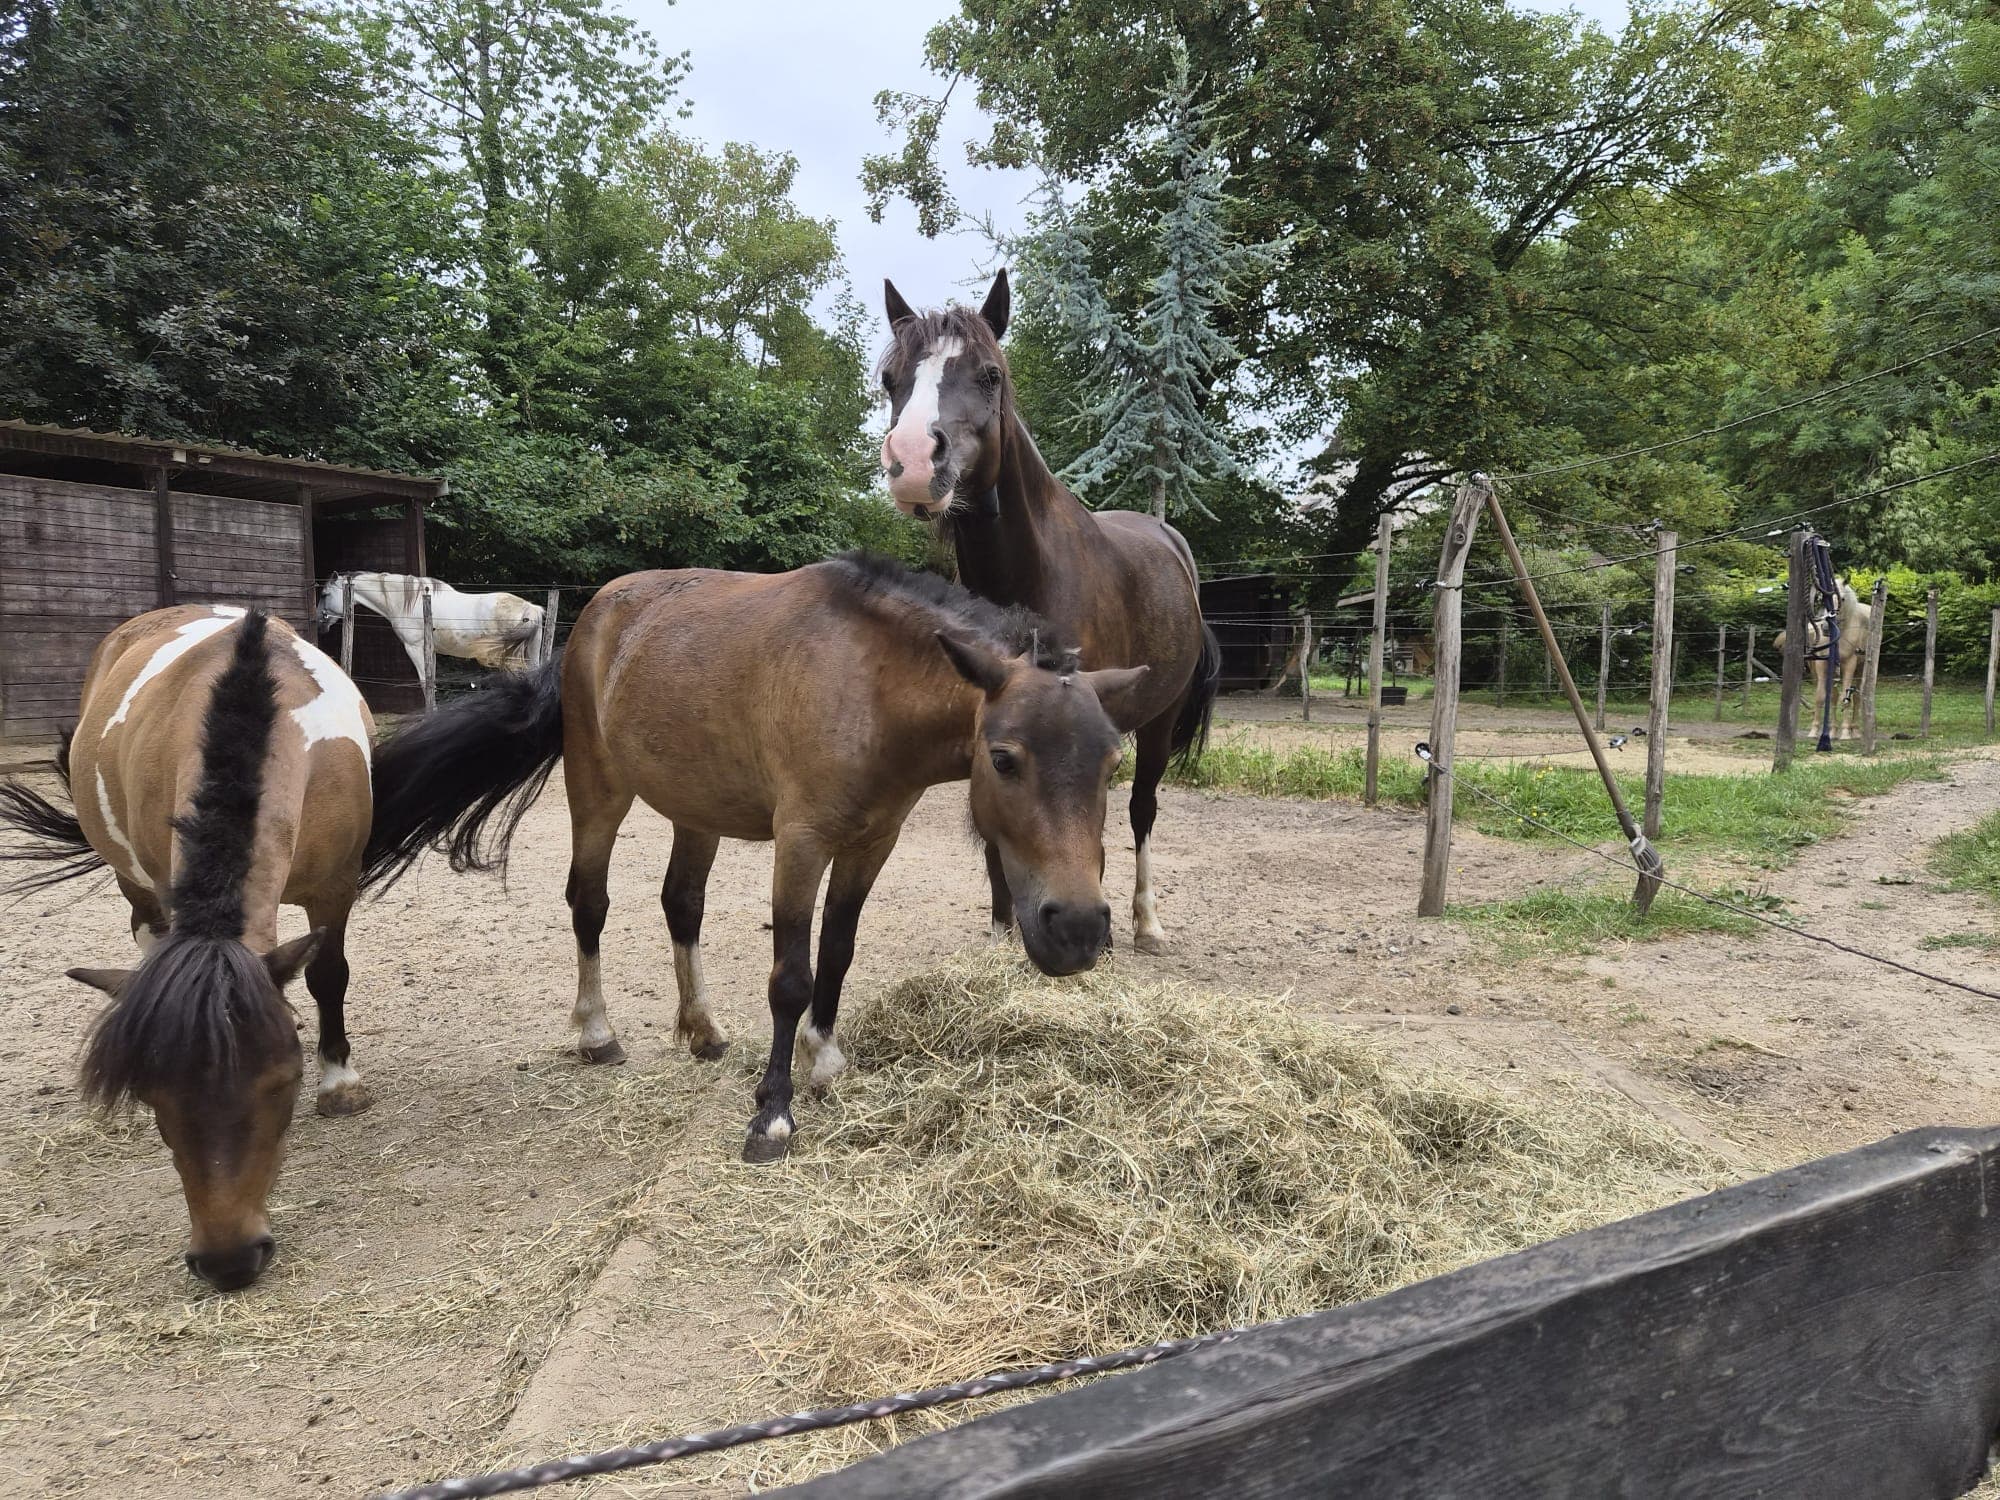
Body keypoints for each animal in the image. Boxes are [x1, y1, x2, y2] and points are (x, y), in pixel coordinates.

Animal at [0, 606, 375, 1290]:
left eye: (285, 1081)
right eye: (154, 1097)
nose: (228, 1260)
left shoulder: (338, 884)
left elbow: (328, 975)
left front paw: (340, 1081)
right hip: (135, 882)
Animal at [317, 572, 545, 674]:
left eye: (325, 594)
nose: (319, 620)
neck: (411, 601)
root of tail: (530, 608)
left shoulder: (414, 648)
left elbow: (425, 681)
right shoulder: (431, 650)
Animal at [357, 553, 1148, 1163]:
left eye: (1113, 763)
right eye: (1005, 758)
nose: (1079, 929)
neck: (868, 682)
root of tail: (597, 615)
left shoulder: (872, 843)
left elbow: (837, 952)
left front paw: (823, 1058)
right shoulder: (801, 842)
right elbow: (791, 977)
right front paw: (772, 1113)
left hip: (694, 810)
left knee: (682, 904)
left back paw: (701, 1028)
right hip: (599, 791)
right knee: (590, 902)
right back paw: (597, 1032)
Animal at [878, 271, 1222, 955]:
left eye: (990, 374)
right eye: (890, 379)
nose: (912, 461)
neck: (1031, 574)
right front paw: (1002, 933)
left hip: (1161, 720)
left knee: (1142, 811)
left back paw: (1145, 923)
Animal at [1774, 578, 1872, 741]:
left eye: (1842, 599)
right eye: (1822, 599)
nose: (1826, 627)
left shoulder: (1849, 664)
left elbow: (1845, 698)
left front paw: (1845, 733)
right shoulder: (1822, 664)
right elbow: (1821, 696)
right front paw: (1815, 731)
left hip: (1861, 668)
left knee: (1857, 697)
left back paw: (1855, 730)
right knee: (1833, 696)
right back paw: (1832, 731)